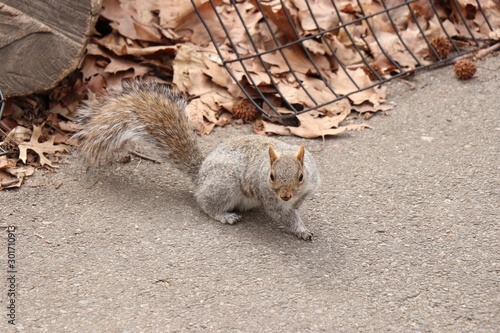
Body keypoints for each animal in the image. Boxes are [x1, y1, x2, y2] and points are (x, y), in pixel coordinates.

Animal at [73, 81, 320, 240]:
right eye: (271, 176)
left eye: (301, 176)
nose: (285, 196)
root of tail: (201, 174)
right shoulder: (267, 194)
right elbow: (282, 214)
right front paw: (300, 229)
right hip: (223, 184)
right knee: (206, 203)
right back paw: (225, 215)